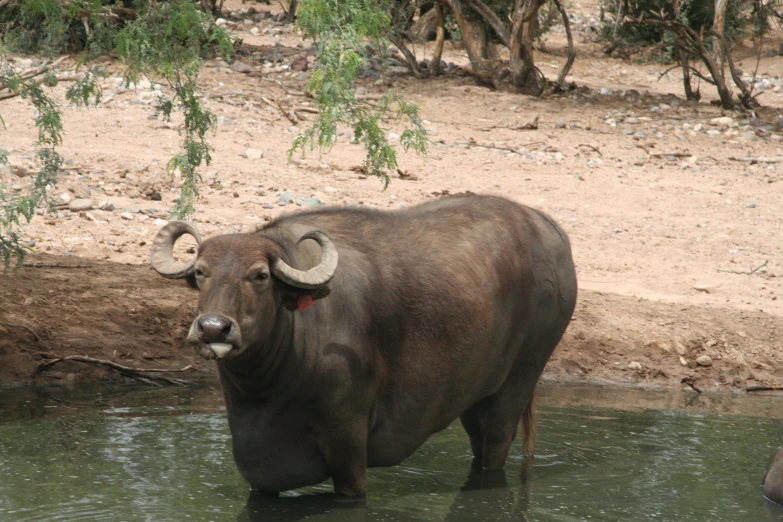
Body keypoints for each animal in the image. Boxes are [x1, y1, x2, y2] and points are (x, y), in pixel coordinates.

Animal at [150, 193, 576, 494]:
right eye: (200, 272)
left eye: (260, 276)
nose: (214, 329)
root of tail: (550, 231)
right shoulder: (258, 467)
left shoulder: (349, 446)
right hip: (476, 396)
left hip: (520, 378)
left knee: (497, 445)